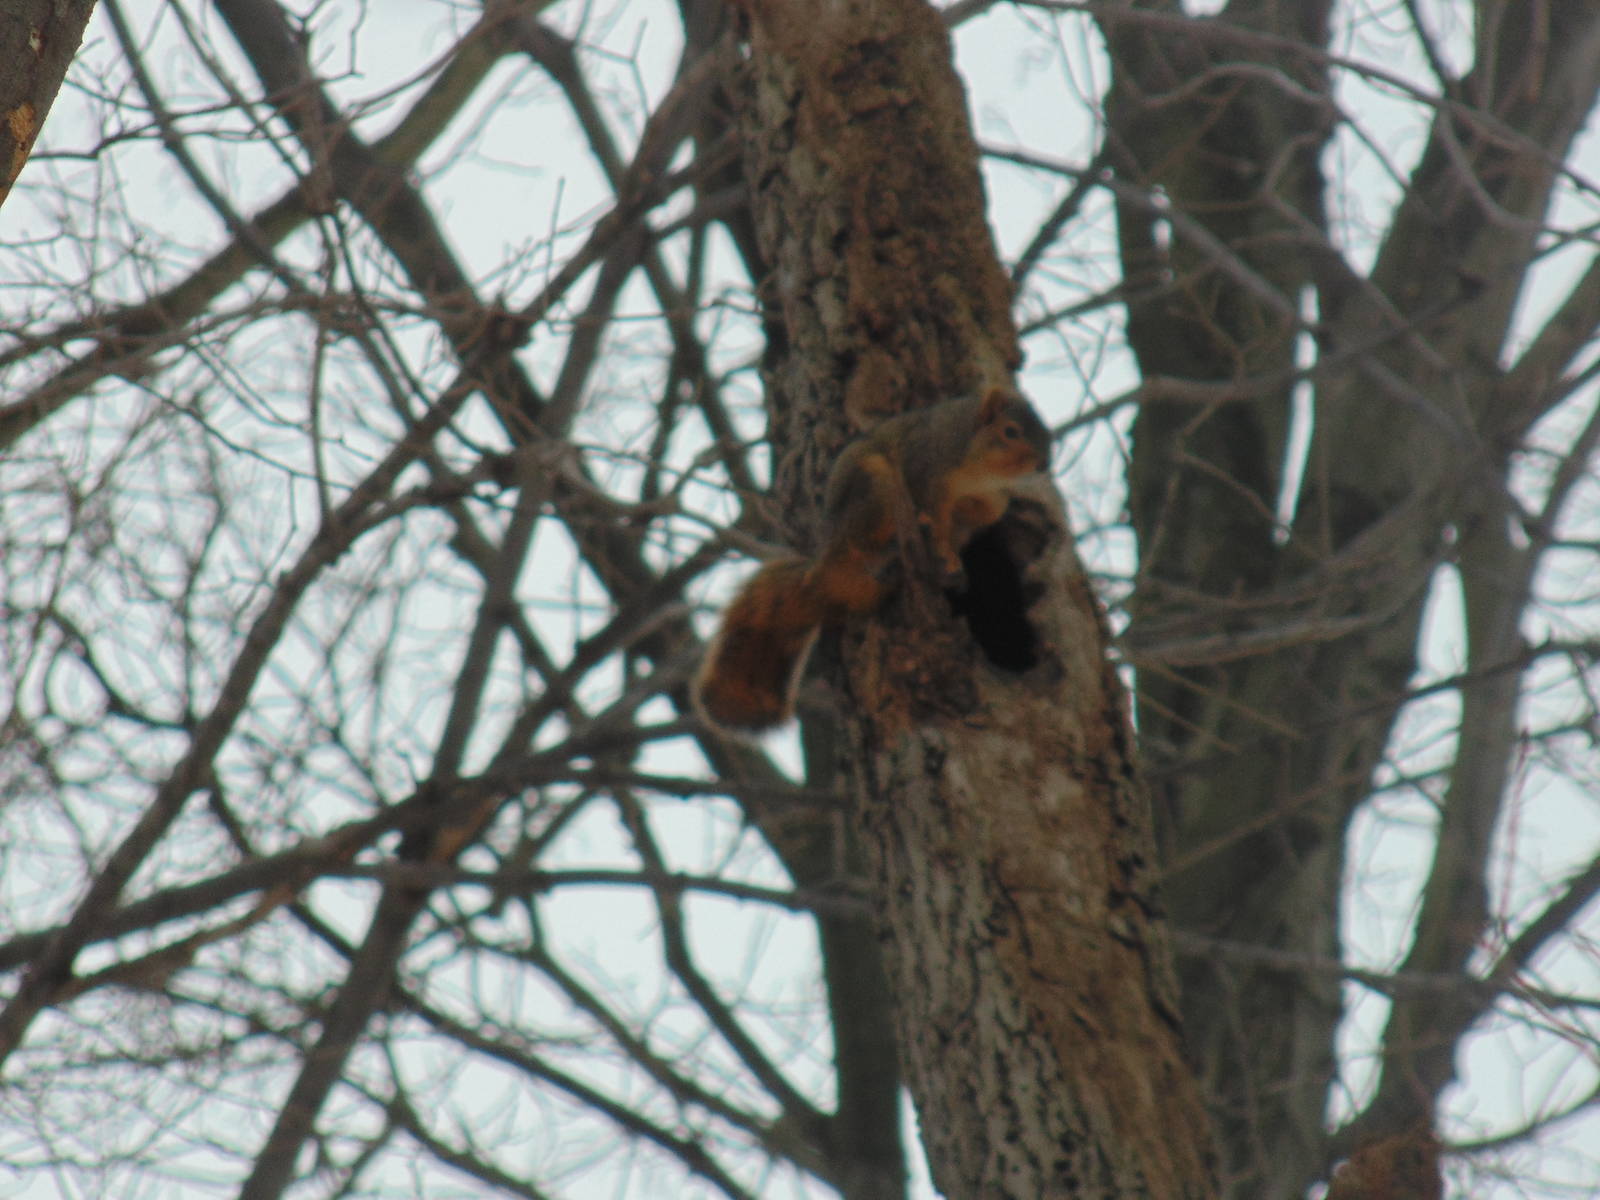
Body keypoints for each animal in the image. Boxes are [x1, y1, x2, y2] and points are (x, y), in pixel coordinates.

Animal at [693, 386, 1053, 733]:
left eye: (1047, 434)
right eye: (1010, 431)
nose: (1044, 465)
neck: (980, 470)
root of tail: (825, 571)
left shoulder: (989, 503)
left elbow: (970, 519)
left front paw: (954, 563)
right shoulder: (925, 467)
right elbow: (932, 516)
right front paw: (940, 544)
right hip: (876, 487)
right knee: (863, 539)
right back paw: (884, 554)